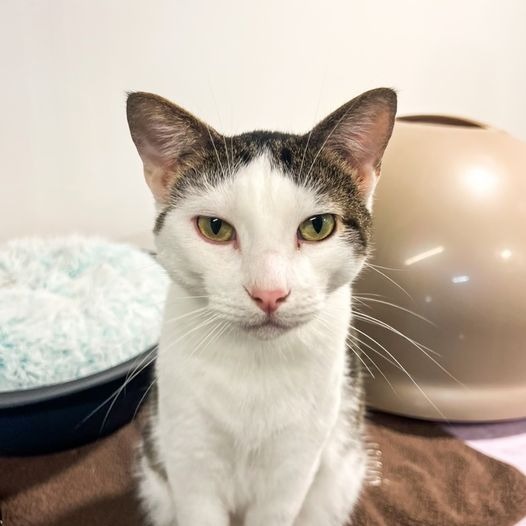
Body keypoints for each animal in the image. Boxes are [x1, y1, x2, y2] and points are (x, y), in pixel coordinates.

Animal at [128, 87, 398, 526]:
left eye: (318, 226)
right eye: (215, 228)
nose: (268, 293)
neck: (254, 365)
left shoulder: (295, 462)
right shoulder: (188, 449)